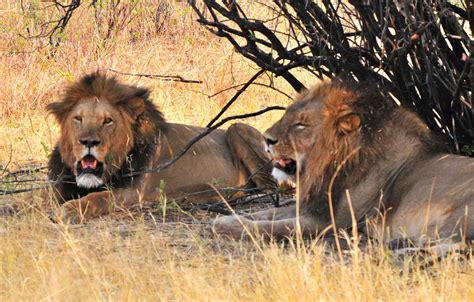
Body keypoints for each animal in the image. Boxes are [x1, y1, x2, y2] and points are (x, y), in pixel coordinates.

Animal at [46, 72, 276, 223]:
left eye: (107, 121)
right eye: (78, 119)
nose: (88, 142)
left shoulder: (133, 193)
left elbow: (97, 197)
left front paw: (69, 209)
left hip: (237, 127)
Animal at [215, 79, 474, 249]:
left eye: (301, 125)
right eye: (287, 115)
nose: (266, 139)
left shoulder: (331, 222)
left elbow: (274, 227)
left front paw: (227, 226)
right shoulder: (314, 206)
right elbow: (268, 213)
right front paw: (228, 217)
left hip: (460, 213)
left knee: (455, 247)